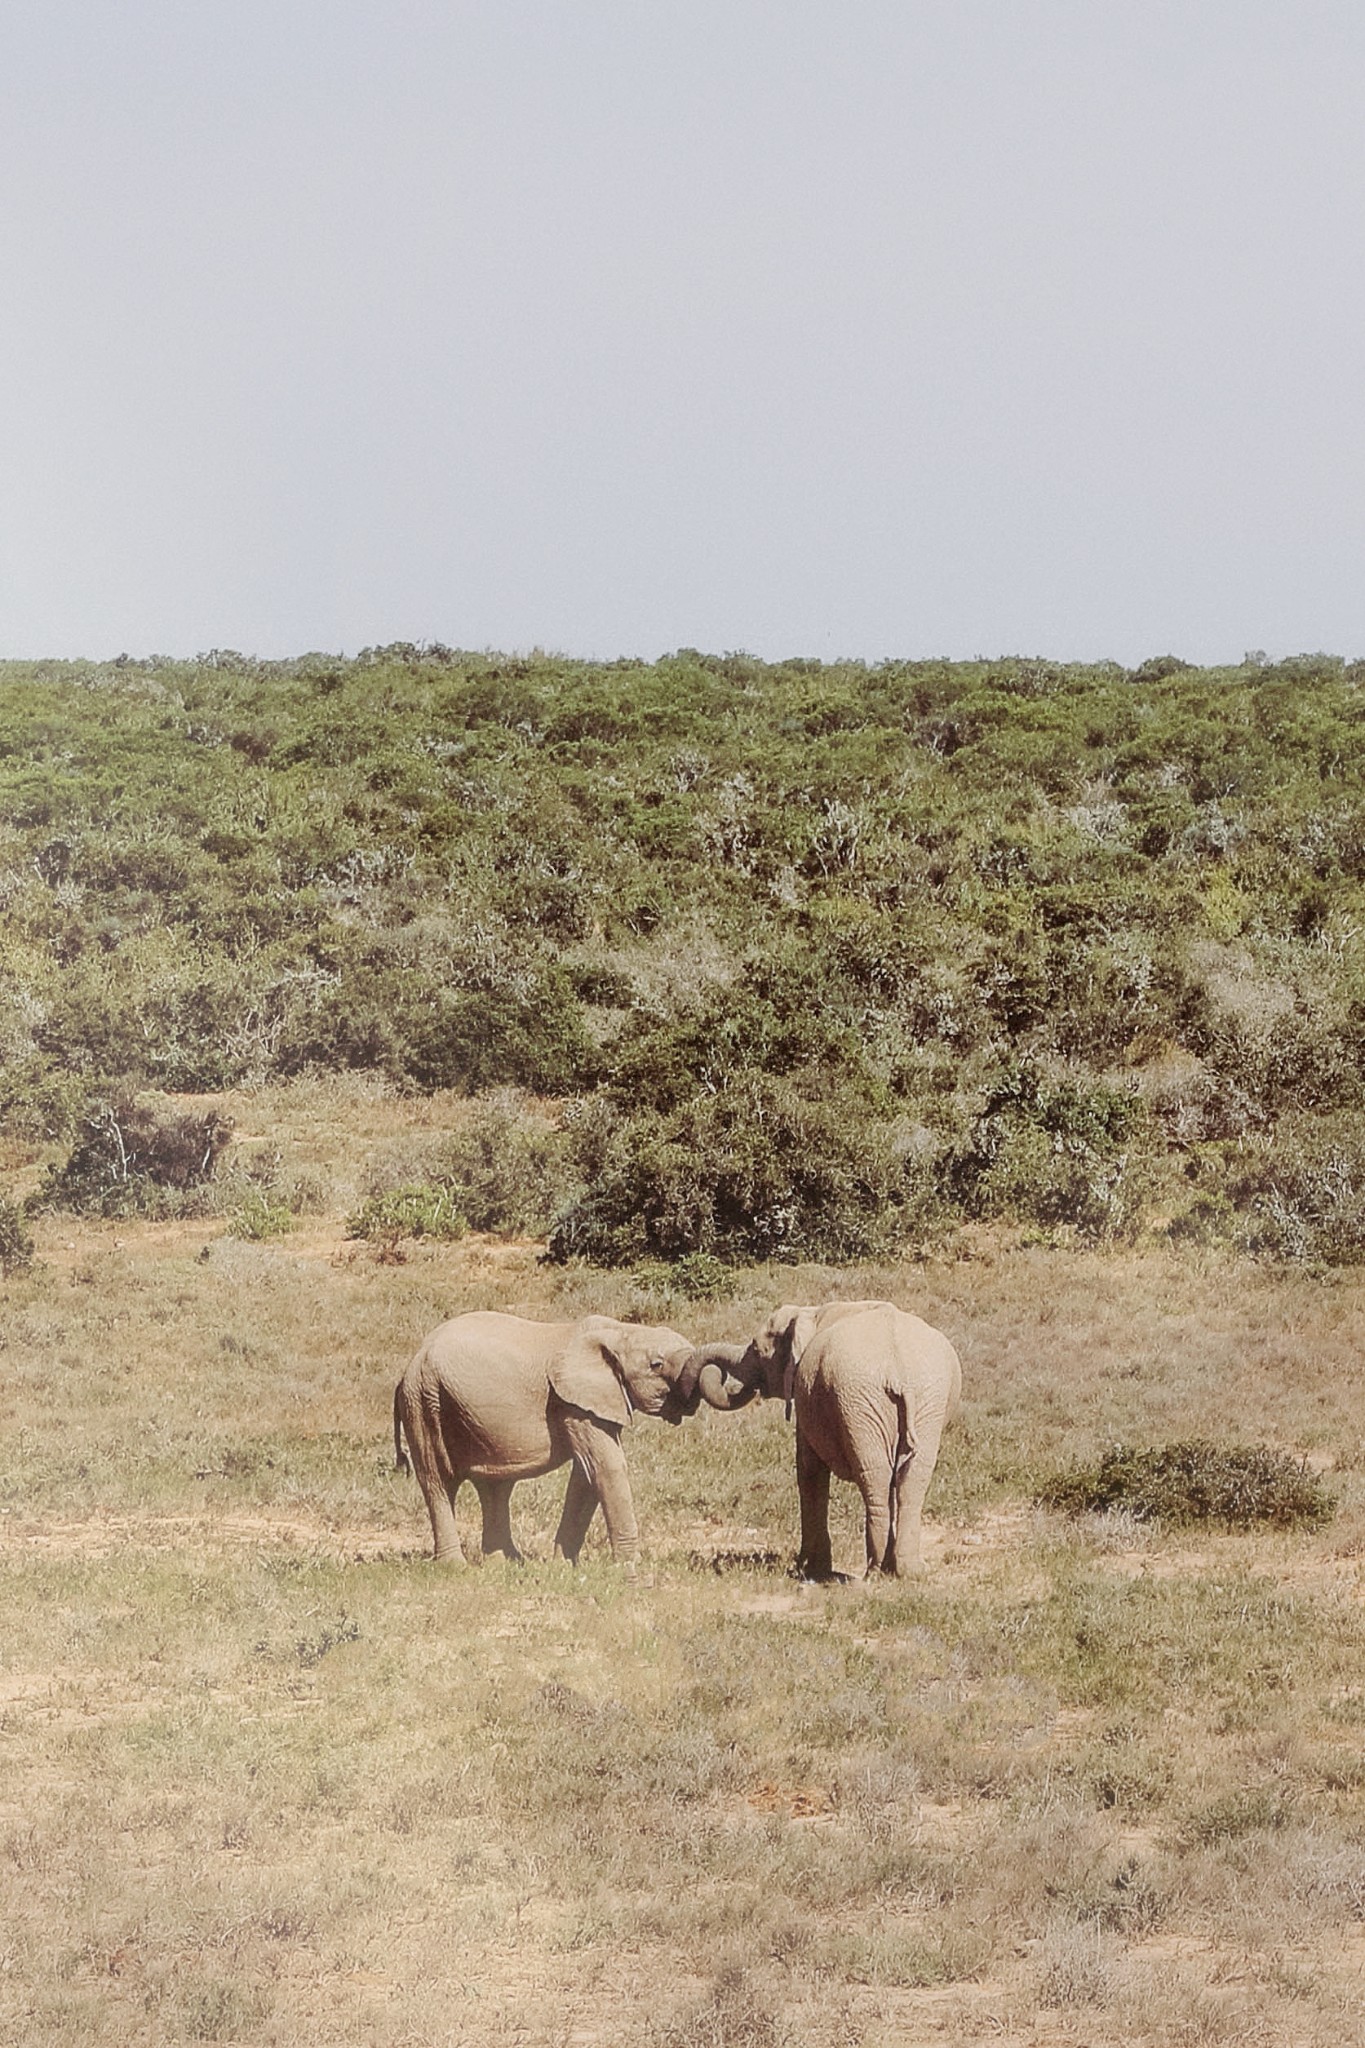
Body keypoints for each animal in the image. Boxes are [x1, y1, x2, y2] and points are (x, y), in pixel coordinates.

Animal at [392, 1302, 695, 1572]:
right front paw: (631, 1569)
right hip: (425, 1400)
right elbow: (606, 1466)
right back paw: (456, 1566)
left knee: (494, 1485)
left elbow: (587, 1473)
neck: (620, 1330)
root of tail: (410, 1364)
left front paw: (565, 1565)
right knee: (439, 1481)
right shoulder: (572, 1401)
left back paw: (508, 1564)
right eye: (656, 1365)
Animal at [683, 1302, 961, 1572]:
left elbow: (808, 1468)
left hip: (863, 1402)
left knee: (878, 1476)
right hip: (923, 1402)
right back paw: (908, 1571)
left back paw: (875, 1571)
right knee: (910, 1479)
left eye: (756, 1348)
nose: (720, 1375)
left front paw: (808, 1568)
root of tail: (899, 1372)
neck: (809, 1312)